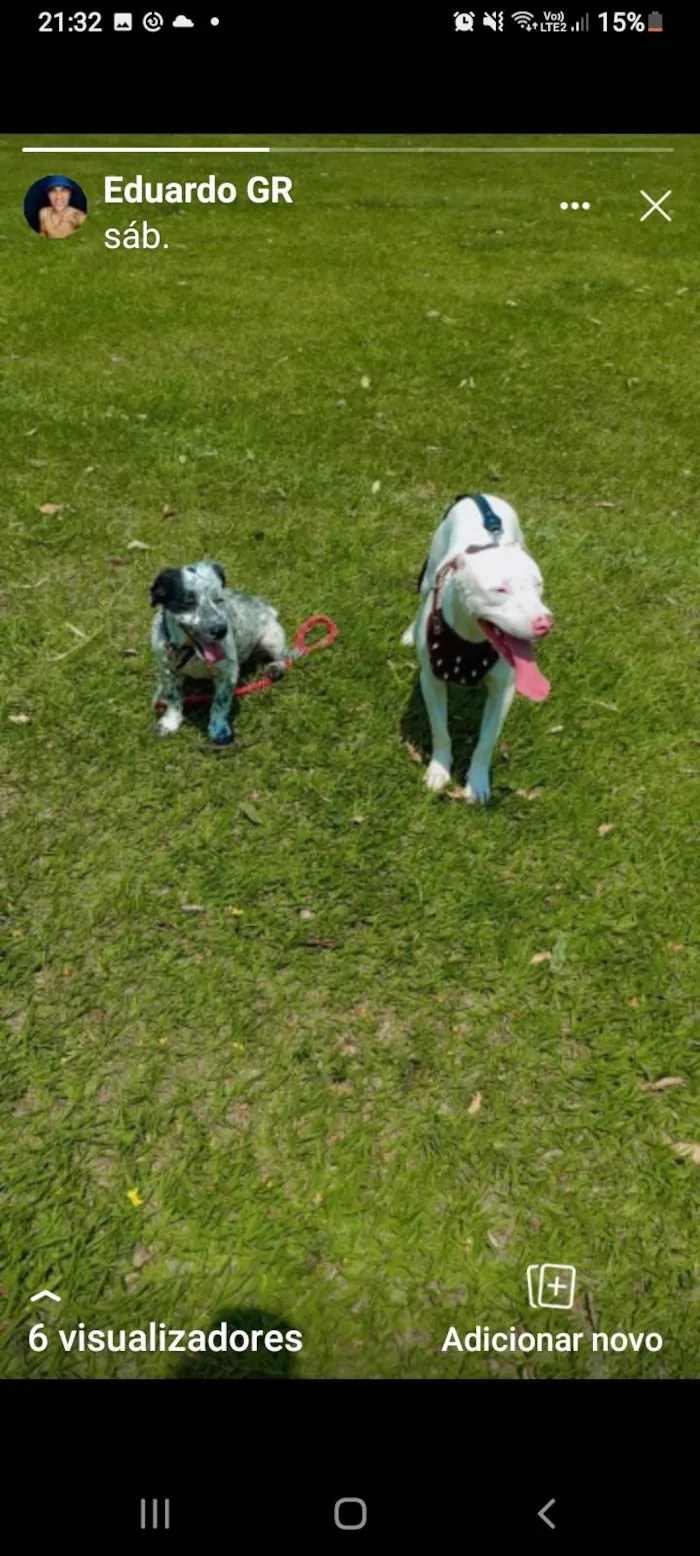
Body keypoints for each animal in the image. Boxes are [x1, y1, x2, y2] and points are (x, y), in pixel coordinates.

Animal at [149, 563, 294, 743]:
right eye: (188, 601)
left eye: (219, 599)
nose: (220, 630)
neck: (190, 652)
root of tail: (268, 610)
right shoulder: (168, 671)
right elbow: (173, 698)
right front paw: (170, 723)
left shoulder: (228, 673)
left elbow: (220, 704)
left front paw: (218, 730)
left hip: (272, 640)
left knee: (285, 657)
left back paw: (275, 668)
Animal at [401, 494, 553, 802]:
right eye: (499, 590)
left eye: (538, 585)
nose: (545, 622)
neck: (470, 640)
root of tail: (479, 496)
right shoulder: (431, 680)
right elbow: (440, 731)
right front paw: (439, 771)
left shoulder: (503, 692)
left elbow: (486, 741)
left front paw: (478, 782)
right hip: (428, 574)